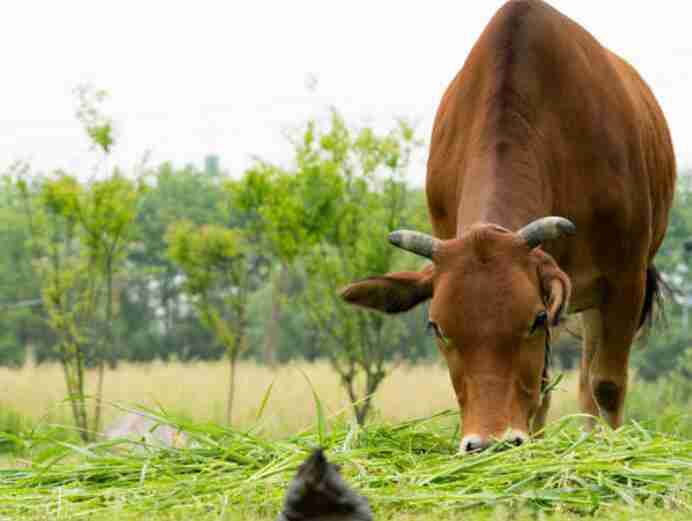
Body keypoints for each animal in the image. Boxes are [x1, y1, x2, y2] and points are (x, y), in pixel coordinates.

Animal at [340, 0, 676, 450]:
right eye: (437, 327)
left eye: (534, 319)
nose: (489, 443)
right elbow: (541, 393)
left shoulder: (624, 280)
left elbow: (606, 384)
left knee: (592, 380)